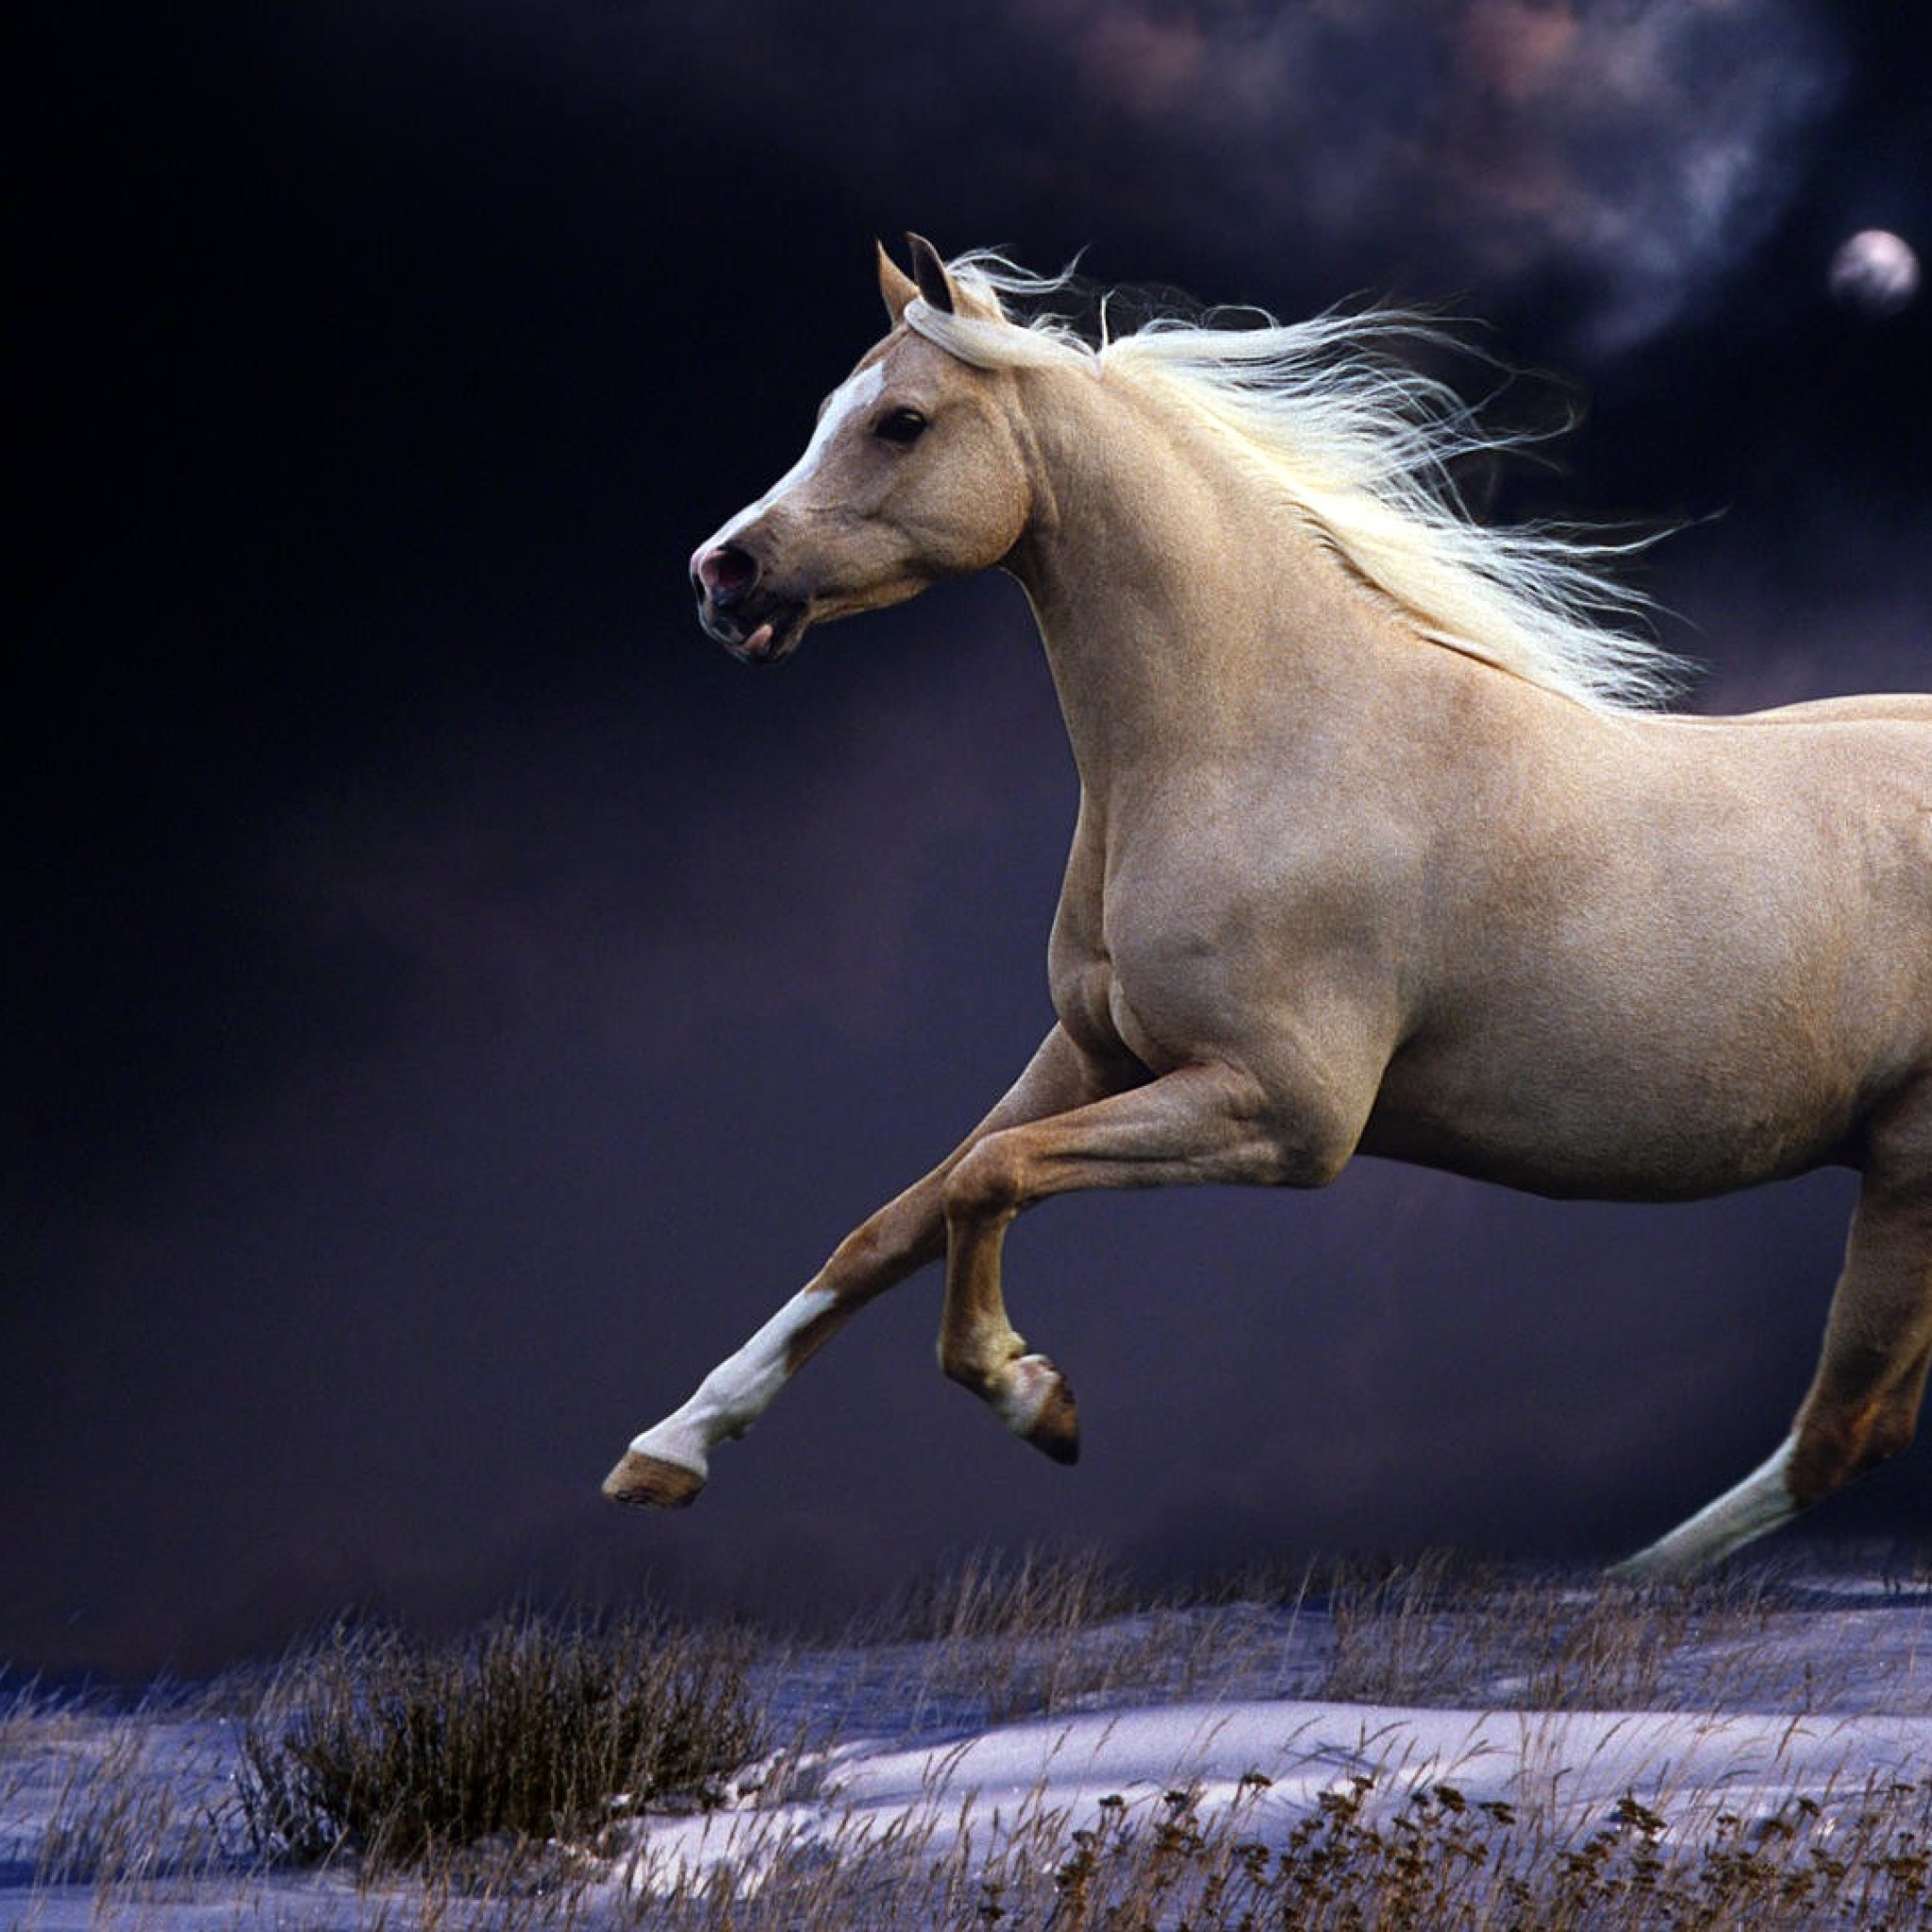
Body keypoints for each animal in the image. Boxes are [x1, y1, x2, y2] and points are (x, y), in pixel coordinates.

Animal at [606, 236, 1932, 1576]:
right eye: (833, 408)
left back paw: (1614, 1589)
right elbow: (894, 1217)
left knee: (1843, 1425)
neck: (1268, 740)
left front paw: (1033, 1394)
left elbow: (989, 1178)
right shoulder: (1091, 1053)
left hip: (1907, 1167)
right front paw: (668, 1449)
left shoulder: (1283, 1111)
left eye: (901, 421)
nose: (720, 575)